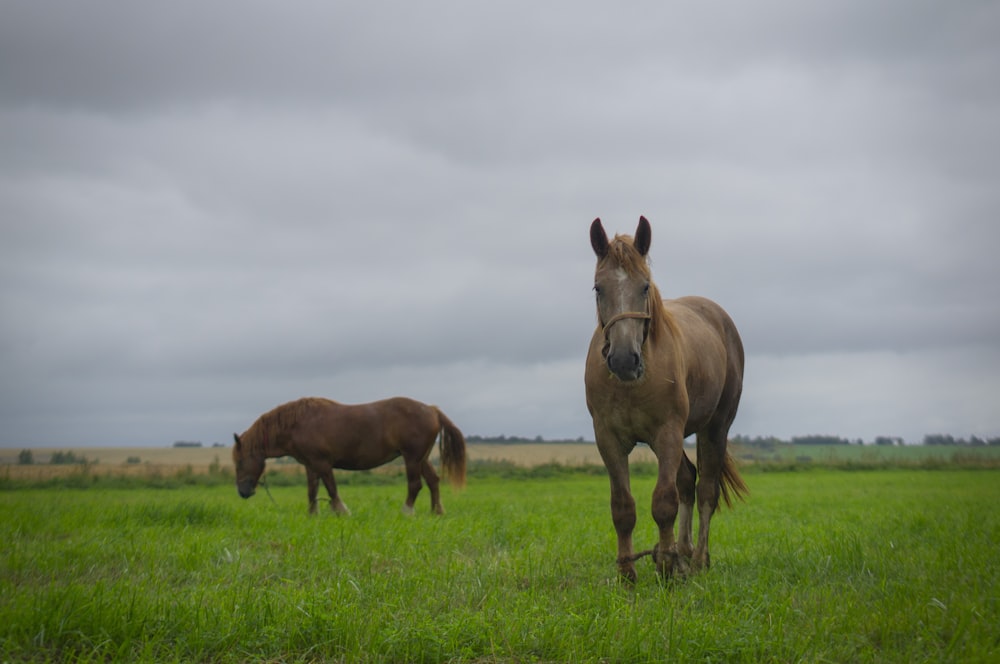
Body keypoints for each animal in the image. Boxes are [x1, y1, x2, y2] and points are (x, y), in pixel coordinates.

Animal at [232, 396, 466, 516]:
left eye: (240, 461)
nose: (243, 492)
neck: (298, 424)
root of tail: (432, 410)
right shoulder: (310, 465)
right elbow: (312, 490)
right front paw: (313, 514)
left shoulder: (322, 463)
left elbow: (331, 488)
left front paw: (342, 511)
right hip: (422, 458)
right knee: (433, 481)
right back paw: (436, 512)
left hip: (412, 458)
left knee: (415, 485)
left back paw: (407, 511)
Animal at [584, 218, 748, 580]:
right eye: (598, 288)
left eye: (645, 287)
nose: (623, 360)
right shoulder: (608, 438)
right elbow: (623, 508)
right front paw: (628, 574)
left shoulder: (668, 432)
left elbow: (663, 502)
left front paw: (665, 568)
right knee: (687, 479)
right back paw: (682, 552)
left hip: (715, 427)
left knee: (706, 490)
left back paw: (697, 560)